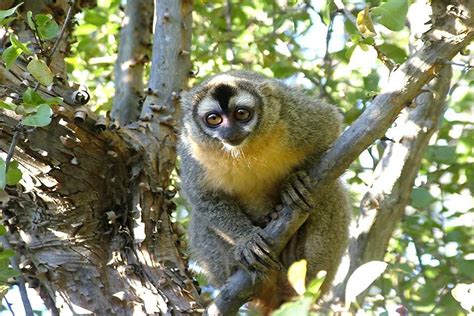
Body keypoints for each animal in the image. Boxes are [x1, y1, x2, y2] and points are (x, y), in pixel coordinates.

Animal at [178, 70, 352, 312]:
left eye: (242, 114)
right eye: (214, 119)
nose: (229, 131)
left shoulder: (292, 114)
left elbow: (330, 129)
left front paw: (293, 183)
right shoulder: (191, 148)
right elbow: (201, 196)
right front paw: (247, 240)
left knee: (329, 191)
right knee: (200, 219)